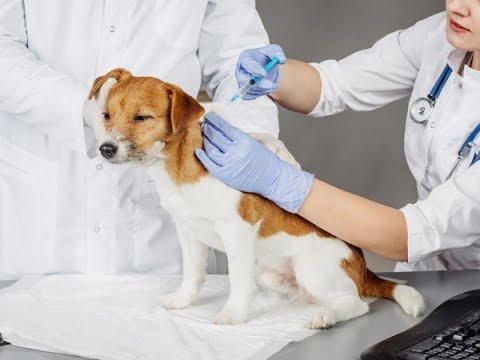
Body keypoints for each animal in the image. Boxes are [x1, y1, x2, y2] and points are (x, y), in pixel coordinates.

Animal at [85, 68, 424, 330]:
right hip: (271, 274)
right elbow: (193, 274)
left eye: (142, 117)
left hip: (311, 268)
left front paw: (233, 315)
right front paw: (183, 300)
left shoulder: (236, 233)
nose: (105, 149)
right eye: (106, 115)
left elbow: (237, 281)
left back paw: (326, 316)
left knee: (356, 304)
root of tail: (363, 269)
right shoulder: (189, 232)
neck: (177, 170)